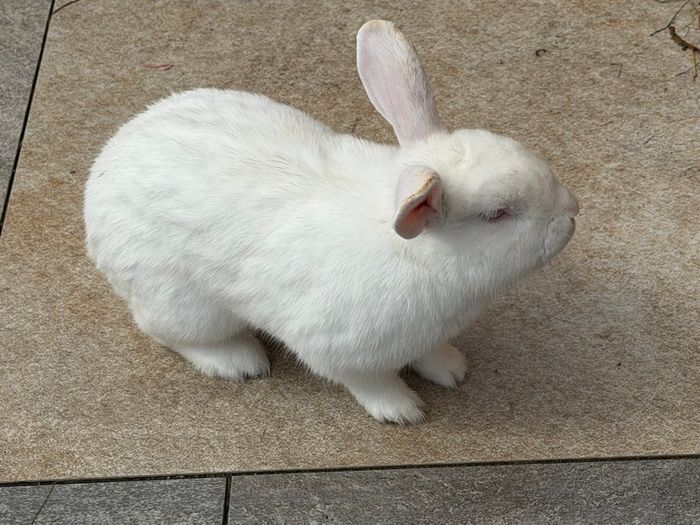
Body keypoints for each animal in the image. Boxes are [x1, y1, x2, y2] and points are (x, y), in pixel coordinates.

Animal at [84, 20, 579, 424]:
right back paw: (240, 361)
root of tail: (107, 163)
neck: (418, 254)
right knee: (166, 331)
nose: (571, 211)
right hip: (182, 303)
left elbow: (431, 355)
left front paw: (452, 370)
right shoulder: (340, 350)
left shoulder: (424, 336)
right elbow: (370, 383)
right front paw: (403, 410)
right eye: (498, 214)